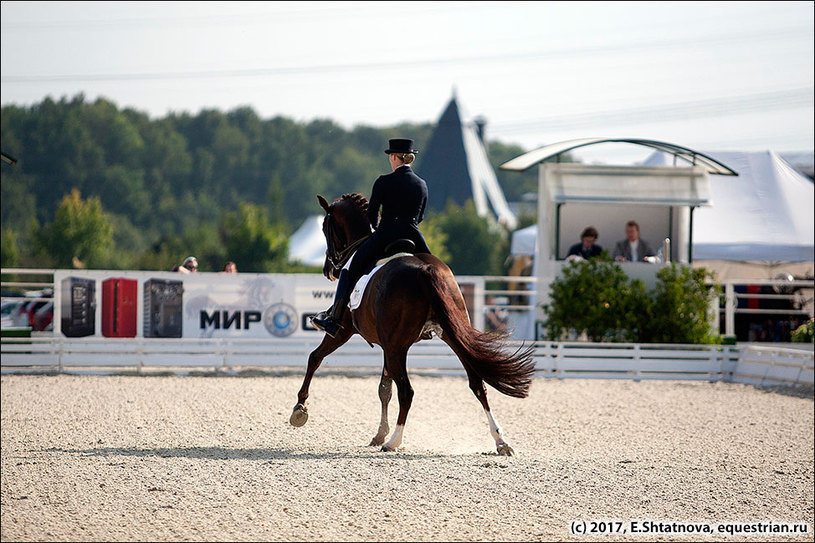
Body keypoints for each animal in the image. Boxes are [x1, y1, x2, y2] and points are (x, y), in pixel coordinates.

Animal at [290, 193, 540, 456]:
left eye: (324, 227)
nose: (328, 270)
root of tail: (426, 270)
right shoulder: (386, 345)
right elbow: (384, 389)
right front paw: (379, 433)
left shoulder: (346, 332)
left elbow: (315, 358)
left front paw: (300, 408)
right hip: (448, 336)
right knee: (477, 384)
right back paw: (501, 441)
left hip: (396, 347)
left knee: (407, 391)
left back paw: (394, 442)